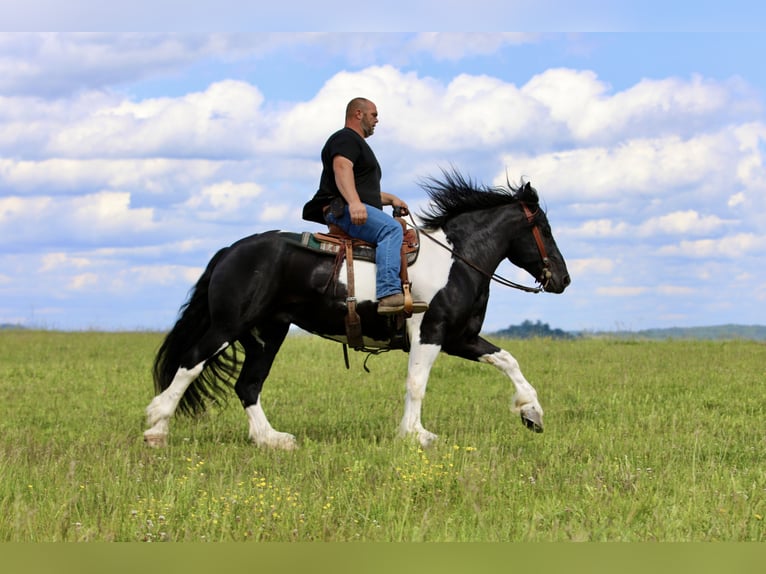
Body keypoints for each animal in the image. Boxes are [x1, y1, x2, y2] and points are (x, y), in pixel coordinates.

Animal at [143, 170, 570, 449]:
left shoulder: (459, 337)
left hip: (267, 335)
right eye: (545, 229)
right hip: (229, 326)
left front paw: (532, 413)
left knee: (247, 384)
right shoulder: (430, 332)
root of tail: (230, 251)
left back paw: (272, 439)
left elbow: (508, 360)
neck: (456, 260)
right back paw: (156, 429)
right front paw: (416, 435)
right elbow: (417, 383)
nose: (563, 279)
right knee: (191, 363)